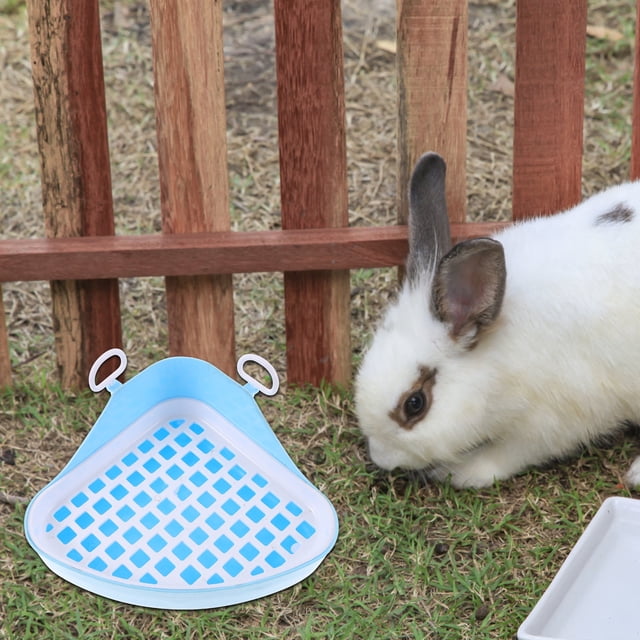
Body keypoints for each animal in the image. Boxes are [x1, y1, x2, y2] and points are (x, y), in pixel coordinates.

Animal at [354, 151, 640, 488]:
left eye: (415, 404)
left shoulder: (551, 422)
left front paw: (459, 472)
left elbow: (505, 457)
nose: (382, 458)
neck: (497, 364)